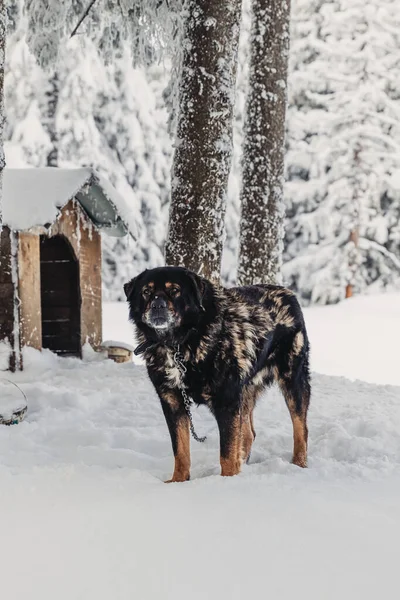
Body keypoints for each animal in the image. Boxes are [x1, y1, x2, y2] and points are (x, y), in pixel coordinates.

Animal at [123, 268, 310, 482]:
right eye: (146, 291)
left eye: (175, 290)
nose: (157, 306)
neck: (180, 343)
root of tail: (288, 293)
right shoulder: (172, 401)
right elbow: (180, 449)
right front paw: (179, 481)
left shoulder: (226, 401)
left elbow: (226, 453)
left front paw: (226, 481)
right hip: (245, 391)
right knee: (248, 434)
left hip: (293, 379)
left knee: (301, 428)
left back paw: (299, 464)